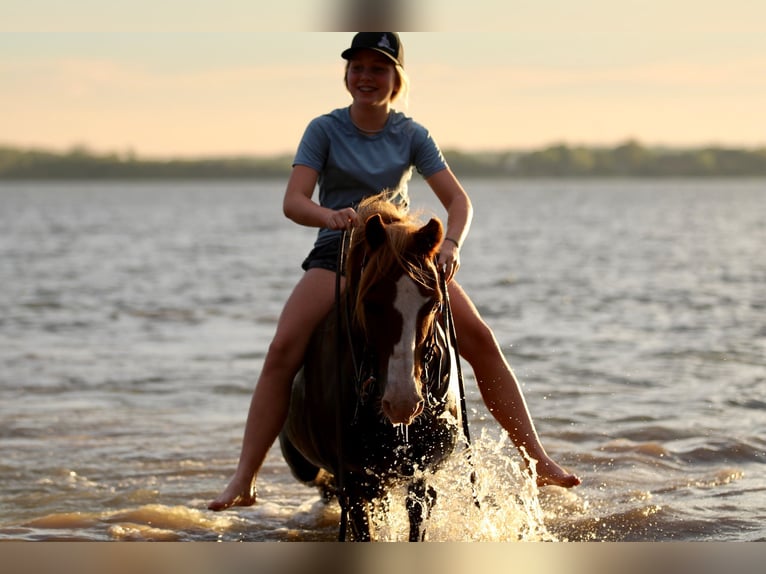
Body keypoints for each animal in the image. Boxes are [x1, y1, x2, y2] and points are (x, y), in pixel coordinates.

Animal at [279, 195, 467, 541]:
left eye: (433, 302)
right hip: (313, 469)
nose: (403, 402)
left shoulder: (421, 474)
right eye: (370, 302)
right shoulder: (353, 479)